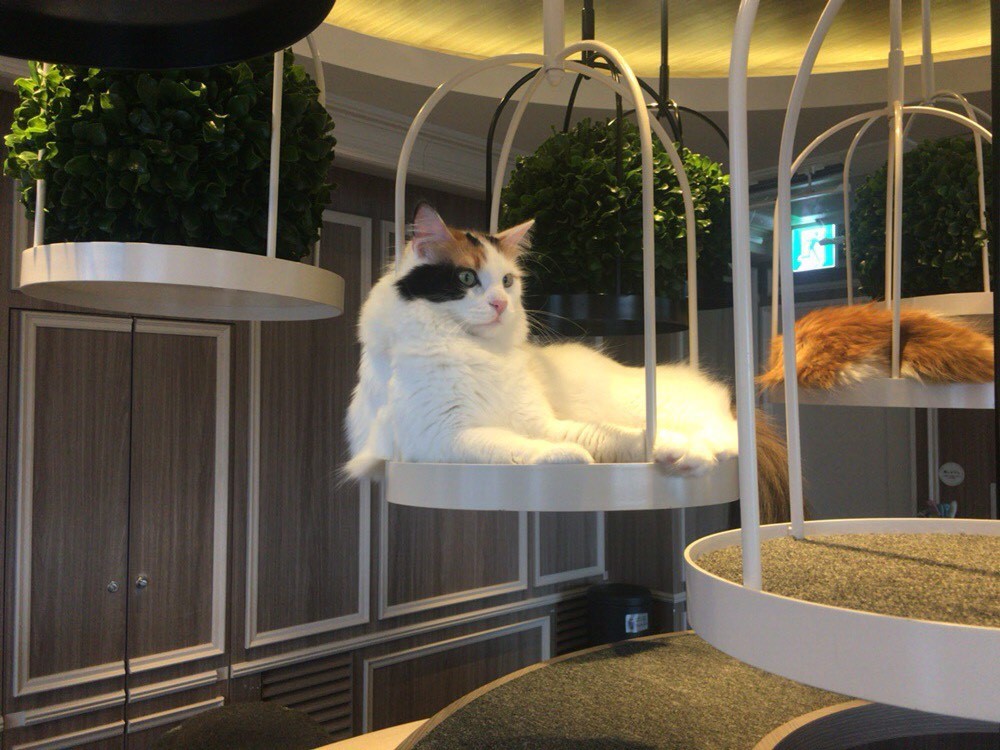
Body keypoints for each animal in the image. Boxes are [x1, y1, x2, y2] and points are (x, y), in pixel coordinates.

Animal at [347, 204, 790, 523]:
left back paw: (700, 452)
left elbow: (619, 436)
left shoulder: (542, 422)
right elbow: (515, 446)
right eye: (467, 278)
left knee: (726, 433)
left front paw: (669, 448)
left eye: (506, 281)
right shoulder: (441, 439)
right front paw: (566, 455)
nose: (500, 304)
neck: (481, 354)